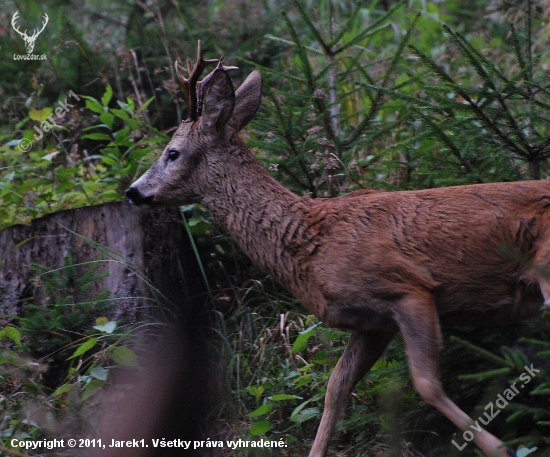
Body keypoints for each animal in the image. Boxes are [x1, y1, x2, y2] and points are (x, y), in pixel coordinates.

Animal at [127, 41, 548, 454]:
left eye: (172, 152)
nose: (132, 191)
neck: (311, 242)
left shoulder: (410, 289)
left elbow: (426, 384)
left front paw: (499, 447)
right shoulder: (373, 322)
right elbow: (335, 389)